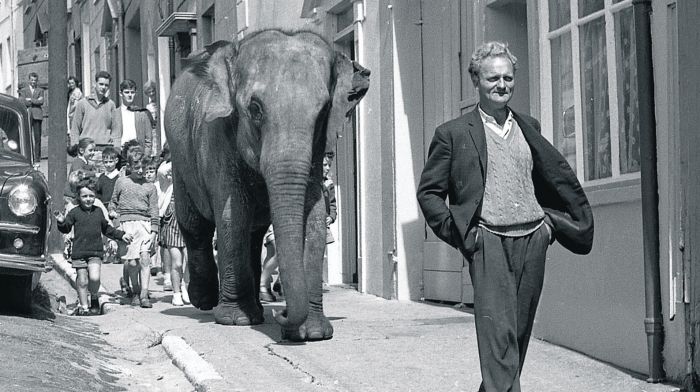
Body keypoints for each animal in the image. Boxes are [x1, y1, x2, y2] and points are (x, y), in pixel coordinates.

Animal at [165, 29, 372, 340]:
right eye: (255, 109)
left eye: (324, 110)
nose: (282, 313)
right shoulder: (217, 137)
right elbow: (233, 215)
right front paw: (235, 321)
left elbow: (314, 219)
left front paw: (312, 332)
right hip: (180, 159)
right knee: (195, 225)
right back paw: (206, 301)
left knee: (253, 234)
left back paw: (256, 308)